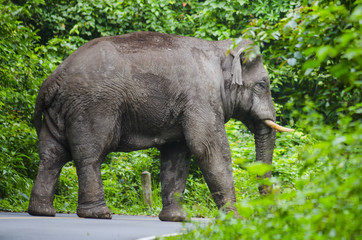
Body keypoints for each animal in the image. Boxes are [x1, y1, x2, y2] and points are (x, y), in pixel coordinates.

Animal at [29, 31, 294, 221]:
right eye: (262, 85)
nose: (269, 213)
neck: (220, 49)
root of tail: (53, 78)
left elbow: (177, 155)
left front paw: (177, 219)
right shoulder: (201, 97)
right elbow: (209, 149)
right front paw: (236, 219)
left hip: (61, 110)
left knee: (52, 155)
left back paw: (42, 212)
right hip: (92, 107)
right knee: (89, 155)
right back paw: (98, 214)